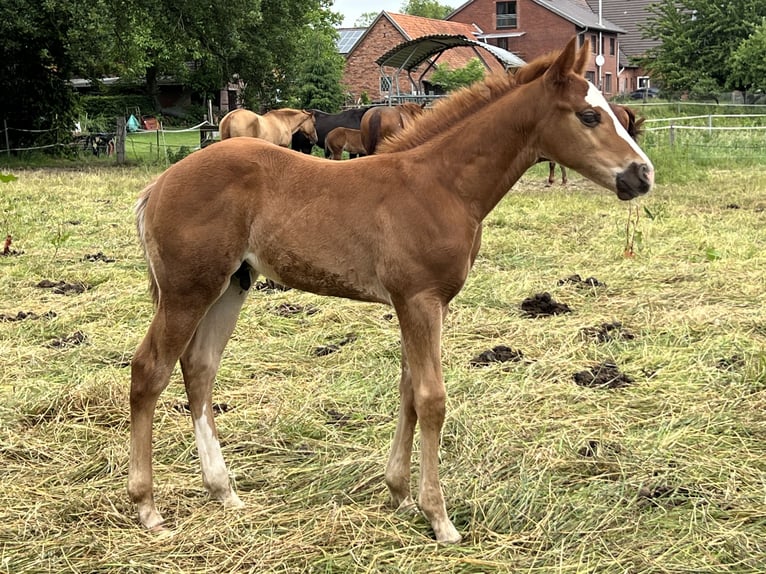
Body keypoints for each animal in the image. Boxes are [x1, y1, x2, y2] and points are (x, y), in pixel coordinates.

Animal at [129, 37, 653, 544]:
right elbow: (431, 398)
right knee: (149, 369)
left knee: (199, 369)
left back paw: (224, 491)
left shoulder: (420, 305)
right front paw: (439, 518)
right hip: (187, 291)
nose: (641, 174)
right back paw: (148, 507)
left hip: (231, 286)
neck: (442, 184)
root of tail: (158, 185)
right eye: (589, 115)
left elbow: (407, 391)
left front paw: (398, 493)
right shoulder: (421, 300)